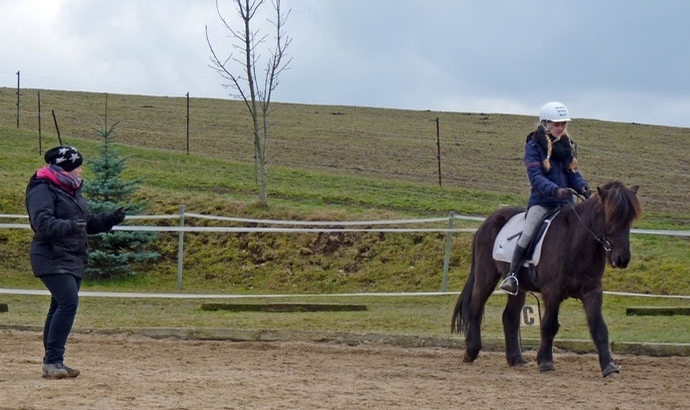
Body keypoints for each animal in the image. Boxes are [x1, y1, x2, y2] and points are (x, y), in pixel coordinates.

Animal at [452, 181, 640, 376]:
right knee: (475, 308)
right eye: (610, 217)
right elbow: (550, 325)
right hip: (486, 275)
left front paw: (609, 367)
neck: (575, 242)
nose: (622, 259)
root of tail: (488, 221)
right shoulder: (552, 291)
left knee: (510, 317)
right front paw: (545, 361)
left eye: (629, 219)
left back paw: (516, 359)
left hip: (519, 287)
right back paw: (471, 351)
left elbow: (599, 327)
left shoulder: (592, 291)